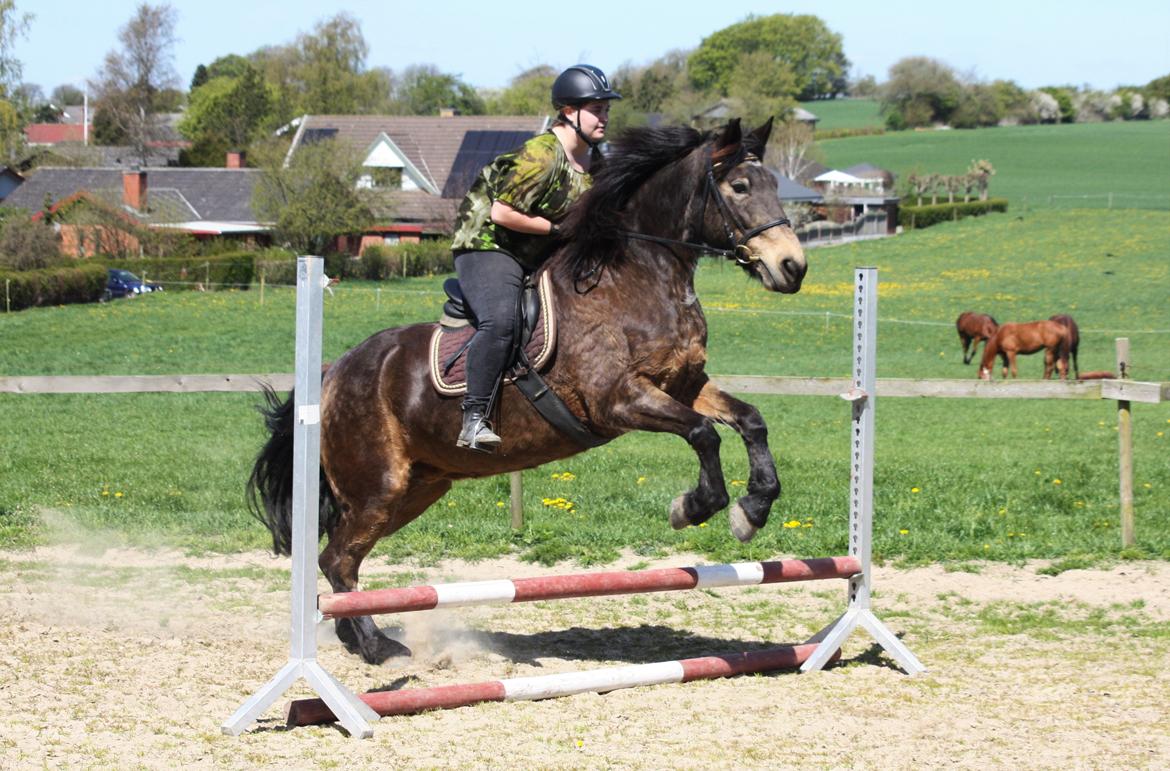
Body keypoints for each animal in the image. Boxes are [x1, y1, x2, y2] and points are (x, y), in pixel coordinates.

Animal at [250, 119, 809, 664]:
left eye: (774, 184)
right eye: (740, 187)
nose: (793, 267)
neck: (636, 280)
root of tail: (334, 372)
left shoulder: (684, 385)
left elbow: (750, 420)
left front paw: (753, 509)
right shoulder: (618, 400)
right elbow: (703, 434)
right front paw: (694, 506)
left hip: (417, 489)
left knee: (338, 557)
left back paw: (355, 638)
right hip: (379, 489)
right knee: (338, 559)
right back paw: (377, 648)